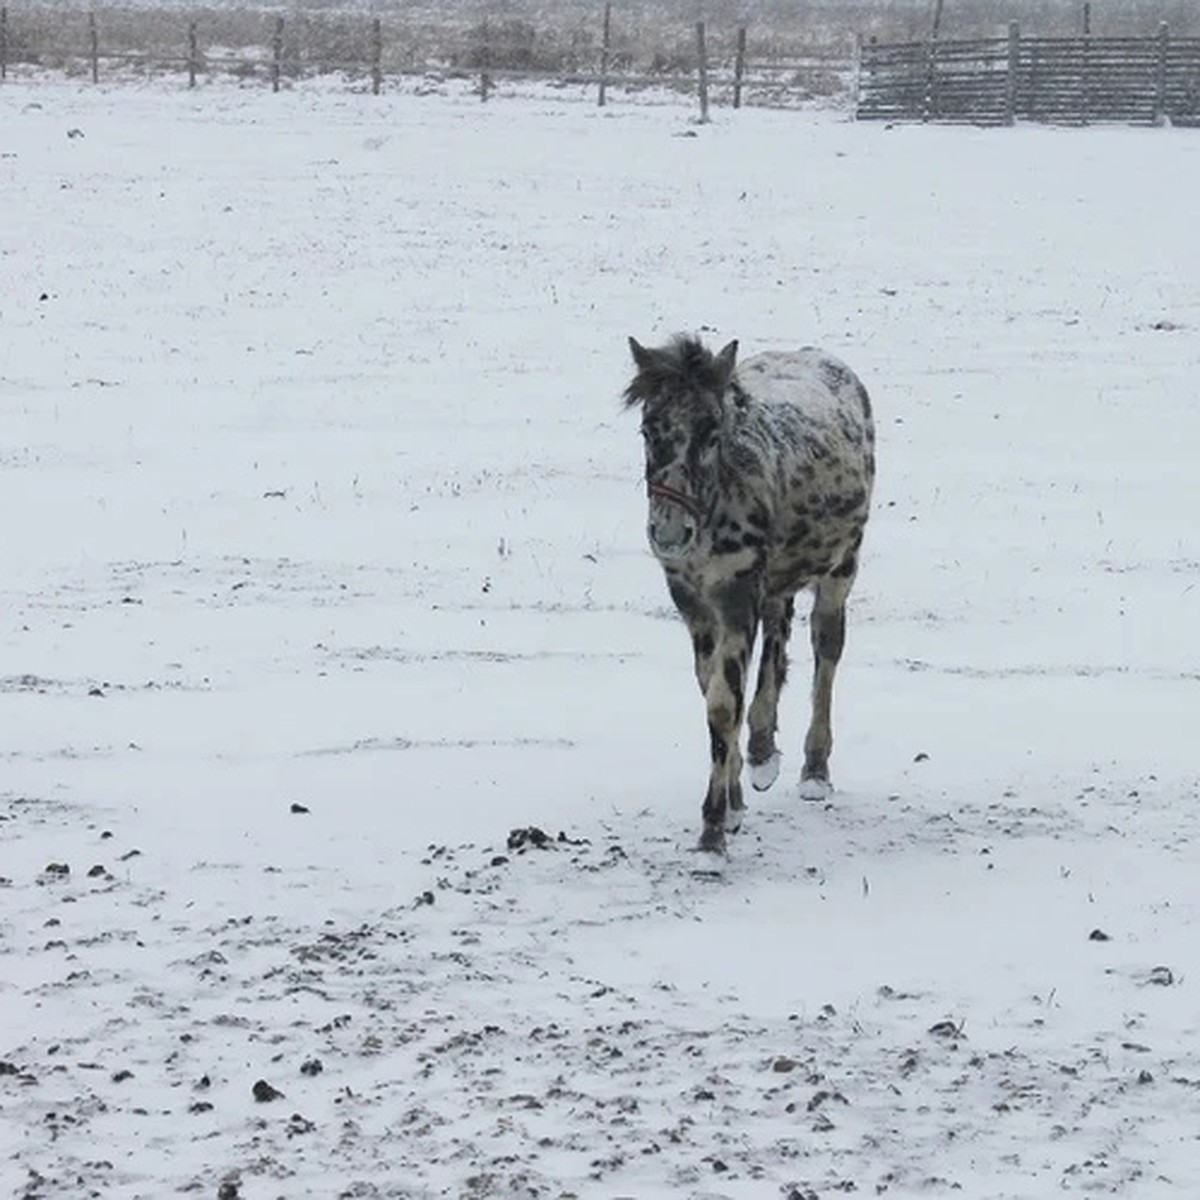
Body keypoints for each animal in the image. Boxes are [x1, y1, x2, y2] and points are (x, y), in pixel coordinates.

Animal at [628, 336, 873, 854]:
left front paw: (712, 829)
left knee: (826, 646)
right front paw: (736, 798)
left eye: (711, 430)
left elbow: (724, 703)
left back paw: (814, 770)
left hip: (841, 565)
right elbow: (715, 691)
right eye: (648, 428)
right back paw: (762, 749)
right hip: (778, 575)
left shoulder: (737, 592)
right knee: (778, 634)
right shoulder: (692, 599)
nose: (670, 533)